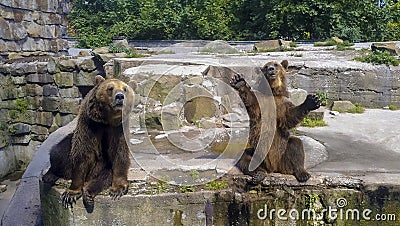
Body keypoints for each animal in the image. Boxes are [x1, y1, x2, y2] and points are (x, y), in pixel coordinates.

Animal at [43, 75, 134, 213]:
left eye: (125, 89)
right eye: (110, 88)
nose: (120, 97)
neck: (107, 121)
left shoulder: (118, 130)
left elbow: (120, 153)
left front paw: (117, 190)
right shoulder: (90, 124)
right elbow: (82, 153)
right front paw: (72, 193)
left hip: (101, 167)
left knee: (104, 176)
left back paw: (89, 194)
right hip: (68, 145)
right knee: (57, 152)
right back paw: (50, 175)